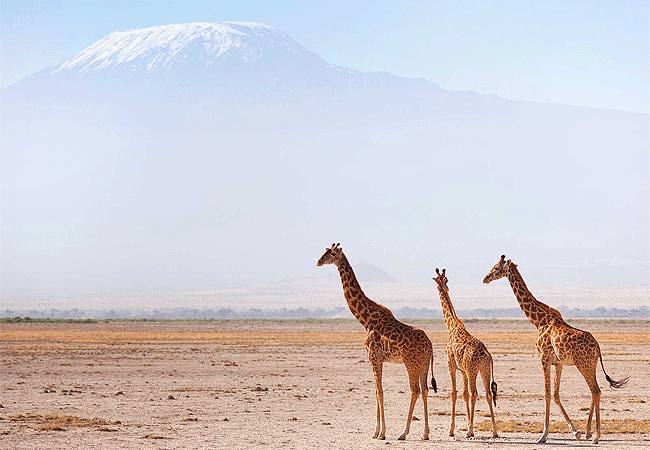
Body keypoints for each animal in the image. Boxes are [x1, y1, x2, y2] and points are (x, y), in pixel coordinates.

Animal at [316, 243, 436, 440]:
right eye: (325, 250)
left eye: (332, 253)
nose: (318, 261)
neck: (365, 320)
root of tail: (430, 345)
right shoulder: (379, 359)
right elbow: (376, 391)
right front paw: (377, 431)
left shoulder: (373, 356)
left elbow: (379, 391)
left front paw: (381, 432)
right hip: (424, 364)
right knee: (425, 390)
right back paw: (425, 433)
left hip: (411, 363)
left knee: (415, 390)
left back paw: (403, 432)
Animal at [432, 268, 498, 438]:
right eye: (445, 279)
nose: (446, 287)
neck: (451, 327)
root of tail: (486, 355)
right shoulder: (463, 370)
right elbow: (464, 394)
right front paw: (468, 424)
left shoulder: (451, 365)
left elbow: (454, 393)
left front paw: (452, 429)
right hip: (484, 369)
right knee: (488, 393)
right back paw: (495, 431)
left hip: (473, 370)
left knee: (476, 393)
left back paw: (469, 432)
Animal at [484, 255, 624, 444]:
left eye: (497, 268)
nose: (485, 278)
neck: (538, 321)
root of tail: (598, 347)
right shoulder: (558, 363)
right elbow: (556, 394)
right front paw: (575, 432)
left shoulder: (543, 358)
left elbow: (547, 393)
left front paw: (543, 435)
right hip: (591, 365)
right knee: (595, 391)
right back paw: (589, 433)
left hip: (583, 364)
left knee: (596, 390)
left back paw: (595, 436)